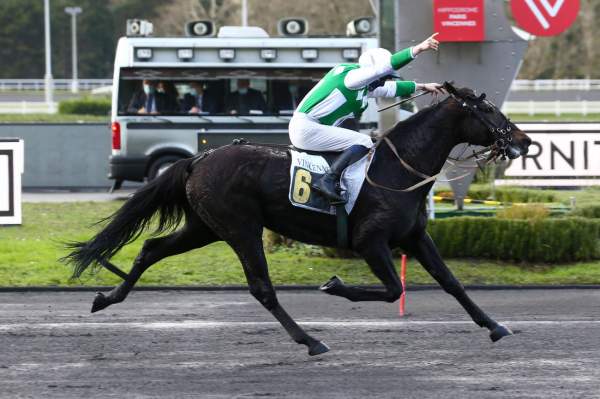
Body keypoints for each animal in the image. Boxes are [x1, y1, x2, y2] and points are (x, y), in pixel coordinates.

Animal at [64, 83, 528, 356]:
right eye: (489, 110)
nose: (524, 141)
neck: (396, 170)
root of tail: (199, 158)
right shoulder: (370, 241)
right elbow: (393, 288)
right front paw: (336, 286)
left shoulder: (414, 237)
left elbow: (451, 282)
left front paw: (495, 326)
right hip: (240, 229)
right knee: (261, 288)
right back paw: (310, 340)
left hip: (204, 227)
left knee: (151, 247)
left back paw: (108, 298)